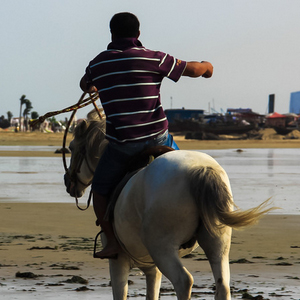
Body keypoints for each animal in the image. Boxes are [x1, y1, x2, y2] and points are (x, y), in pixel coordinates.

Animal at [64, 110, 274, 300]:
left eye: (72, 147)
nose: (69, 183)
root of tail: (200, 169)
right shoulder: (152, 269)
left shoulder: (118, 263)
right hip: (217, 242)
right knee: (222, 284)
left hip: (162, 248)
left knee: (184, 281)